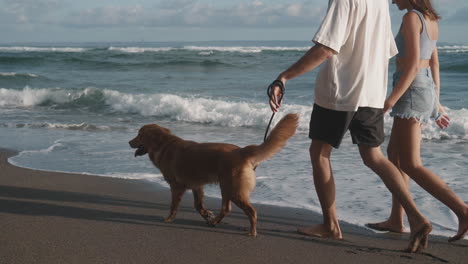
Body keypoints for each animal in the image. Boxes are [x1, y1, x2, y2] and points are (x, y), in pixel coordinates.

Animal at [128, 112, 298, 236]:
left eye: (139, 135)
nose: (129, 142)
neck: (164, 145)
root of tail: (241, 151)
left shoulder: (177, 187)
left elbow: (174, 206)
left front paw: (169, 218)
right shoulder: (196, 186)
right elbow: (198, 205)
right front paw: (207, 215)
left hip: (233, 189)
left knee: (251, 211)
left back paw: (251, 232)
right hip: (226, 188)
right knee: (226, 208)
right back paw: (215, 222)